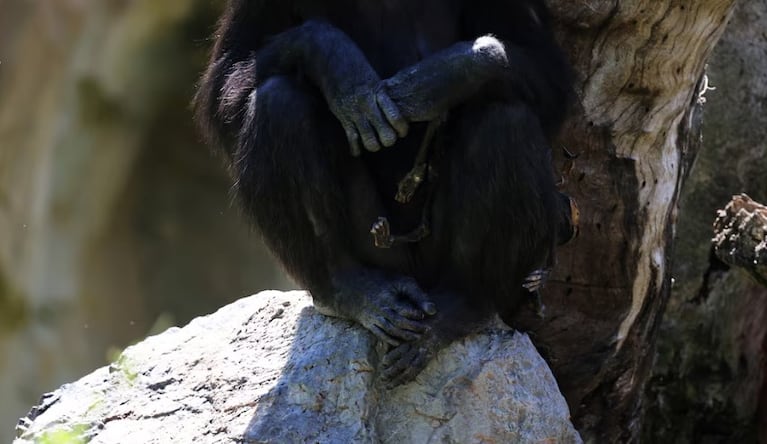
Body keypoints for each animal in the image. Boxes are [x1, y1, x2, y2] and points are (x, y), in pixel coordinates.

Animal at [195, 0, 572, 386]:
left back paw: (457, 305)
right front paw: (334, 59)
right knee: (279, 101)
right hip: (379, 249)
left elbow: (546, 71)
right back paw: (352, 288)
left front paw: (445, 76)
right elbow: (228, 82)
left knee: (504, 117)